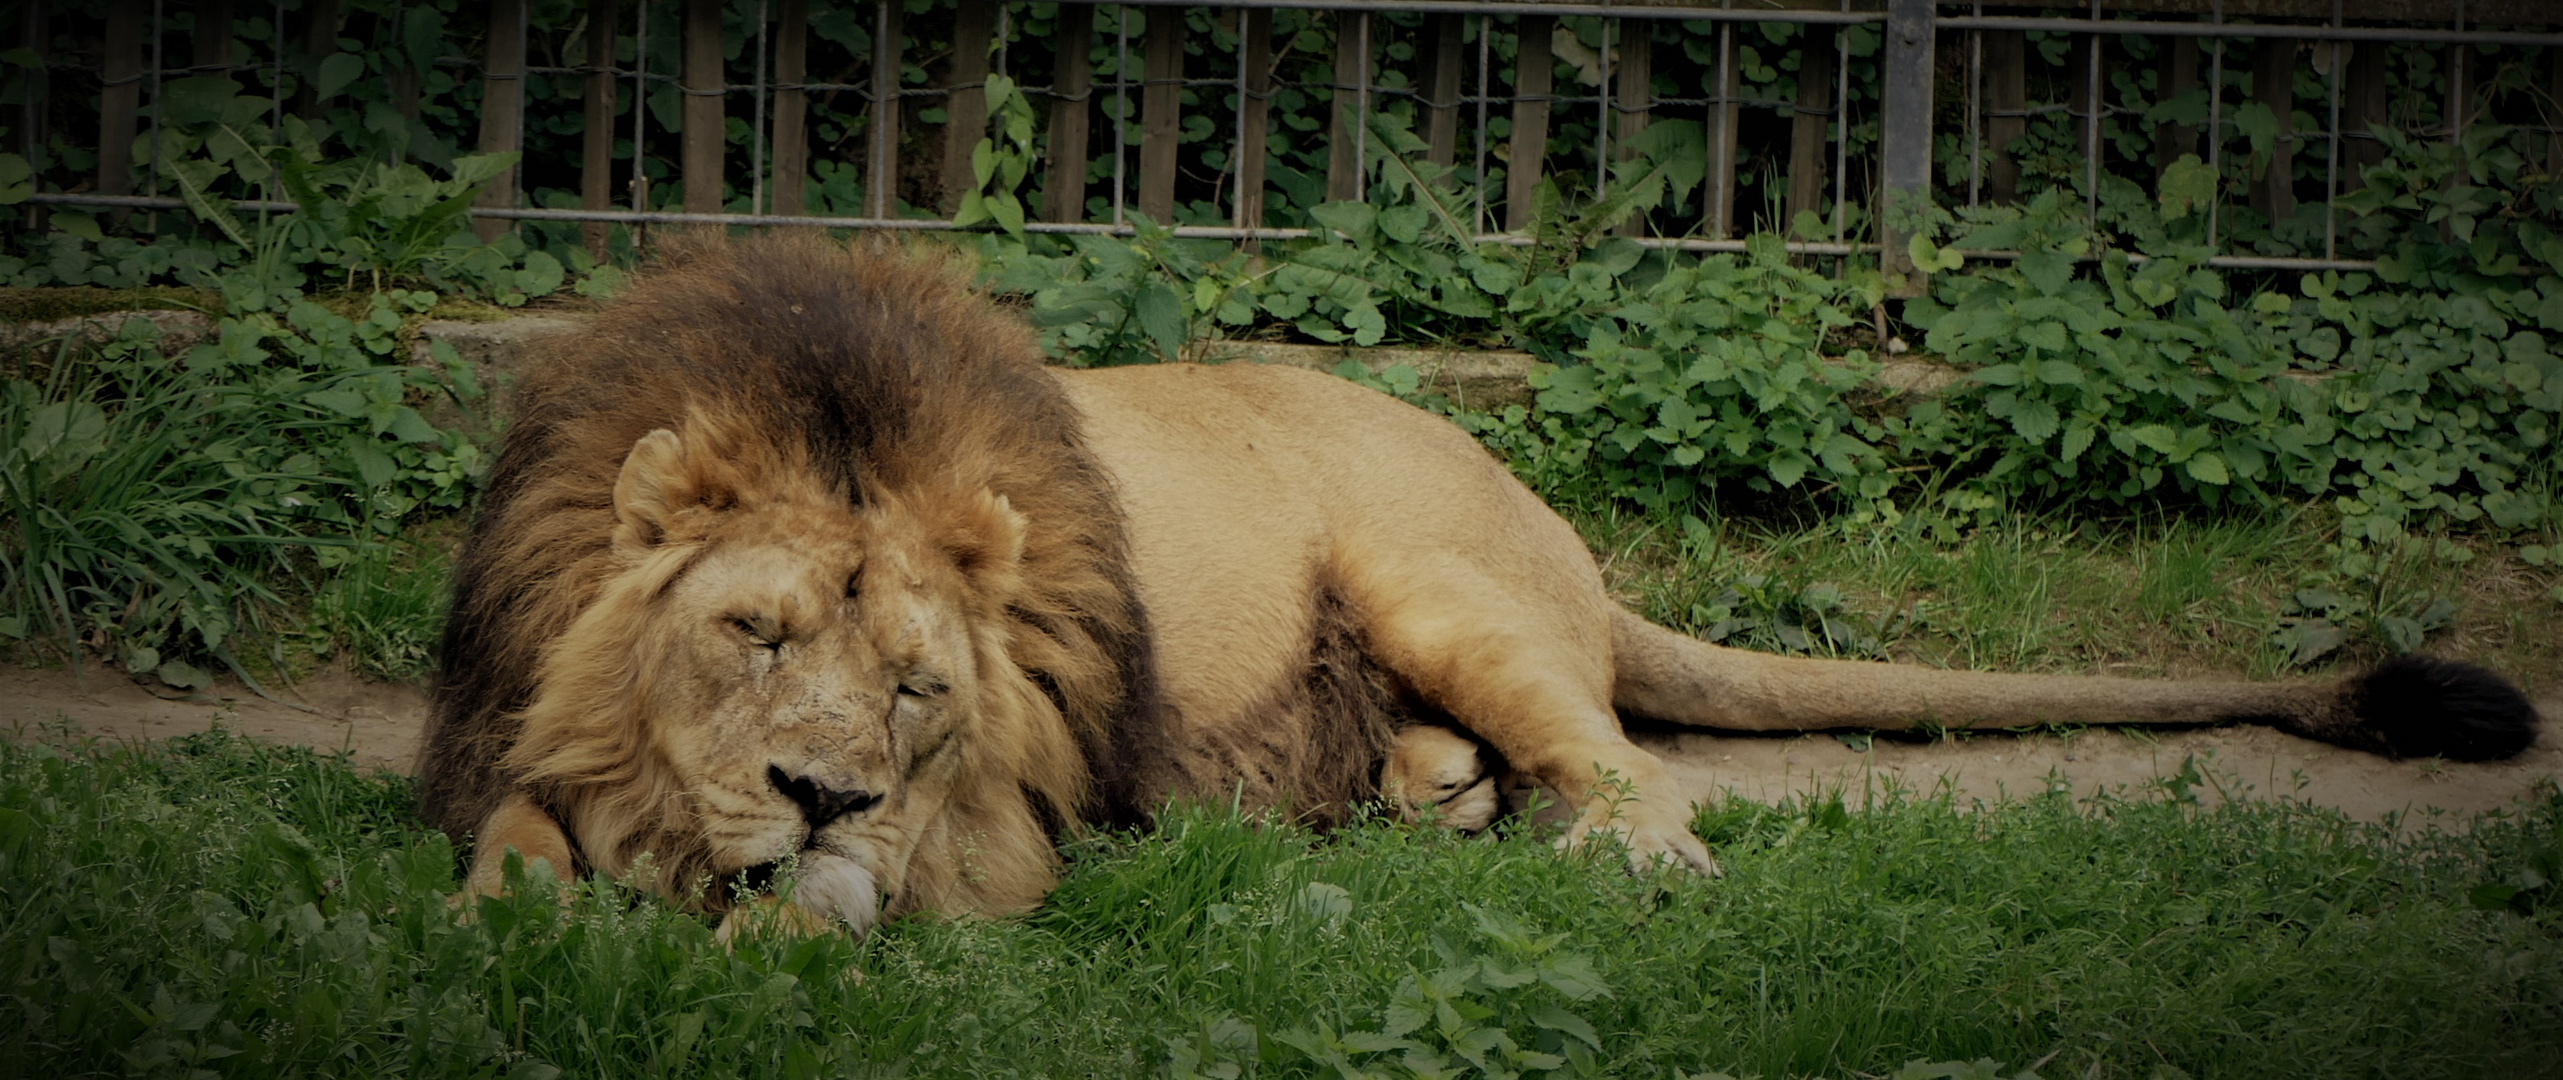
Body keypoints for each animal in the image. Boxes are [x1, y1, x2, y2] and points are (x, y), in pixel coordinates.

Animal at [410, 233, 2532, 933]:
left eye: (922, 690)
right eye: (750, 633)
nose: (822, 794)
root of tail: (1554, 523)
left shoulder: (1004, 825)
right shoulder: (506, 727)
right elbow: (512, 838)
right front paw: (517, 922)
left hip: (1437, 581)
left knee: (1645, 788)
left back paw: (1590, 858)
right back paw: (1419, 802)